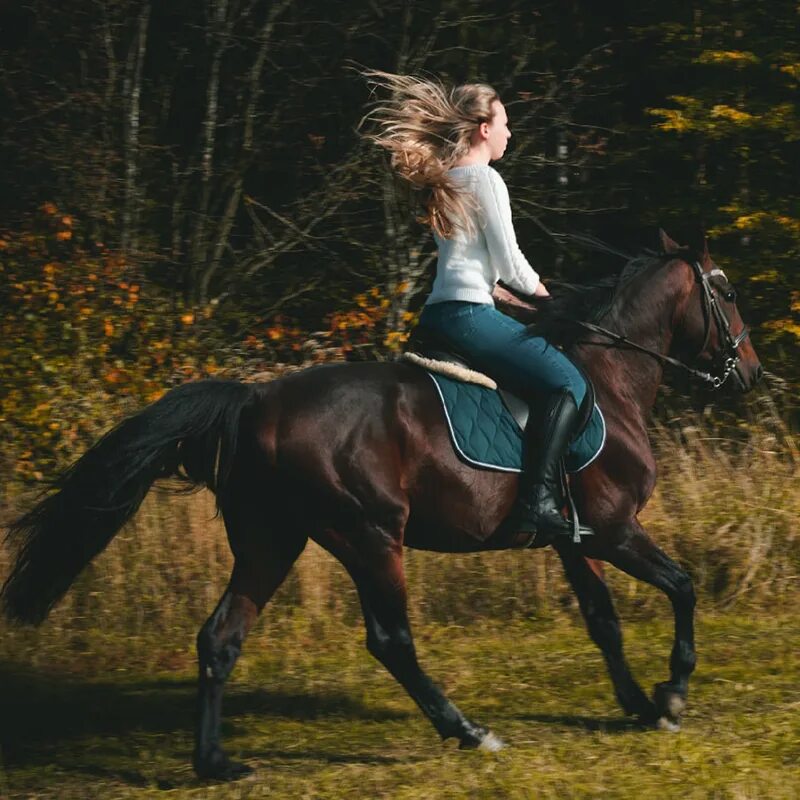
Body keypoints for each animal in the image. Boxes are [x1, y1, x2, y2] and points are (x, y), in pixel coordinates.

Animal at [0, 231, 764, 780]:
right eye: (725, 292)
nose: (751, 374)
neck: (609, 381)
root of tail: (253, 400)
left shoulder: (575, 538)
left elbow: (603, 622)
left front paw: (636, 705)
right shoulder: (612, 530)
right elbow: (683, 586)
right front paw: (671, 696)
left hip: (272, 541)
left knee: (221, 636)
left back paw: (214, 763)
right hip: (368, 536)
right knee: (391, 640)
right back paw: (469, 732)